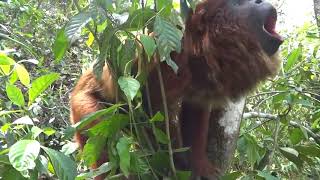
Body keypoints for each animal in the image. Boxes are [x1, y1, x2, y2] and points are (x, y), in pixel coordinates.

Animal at [70, 0, 282, 179]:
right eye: (237, 4)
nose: (260, 1)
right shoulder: (169, 54)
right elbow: (150, 107)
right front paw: (173, 162)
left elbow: (196, 109)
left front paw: (198, 164)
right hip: (83, 109)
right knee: (103, 137)